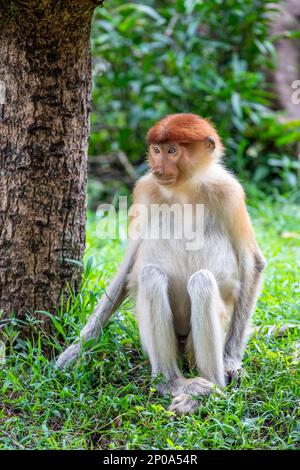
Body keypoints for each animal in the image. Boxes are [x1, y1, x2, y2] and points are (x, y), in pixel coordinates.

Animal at [57, 114, 266, 414]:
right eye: (156, 150)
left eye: (172, 150)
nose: (157, 167)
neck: (184, 189)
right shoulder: (145, 190)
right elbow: (130, 263)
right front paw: (75, 351)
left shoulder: (229, 192)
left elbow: (253, 263)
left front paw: (230, 362)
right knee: (150, 275)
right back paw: (171, 383)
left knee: (202, 281)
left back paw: (208, 389)